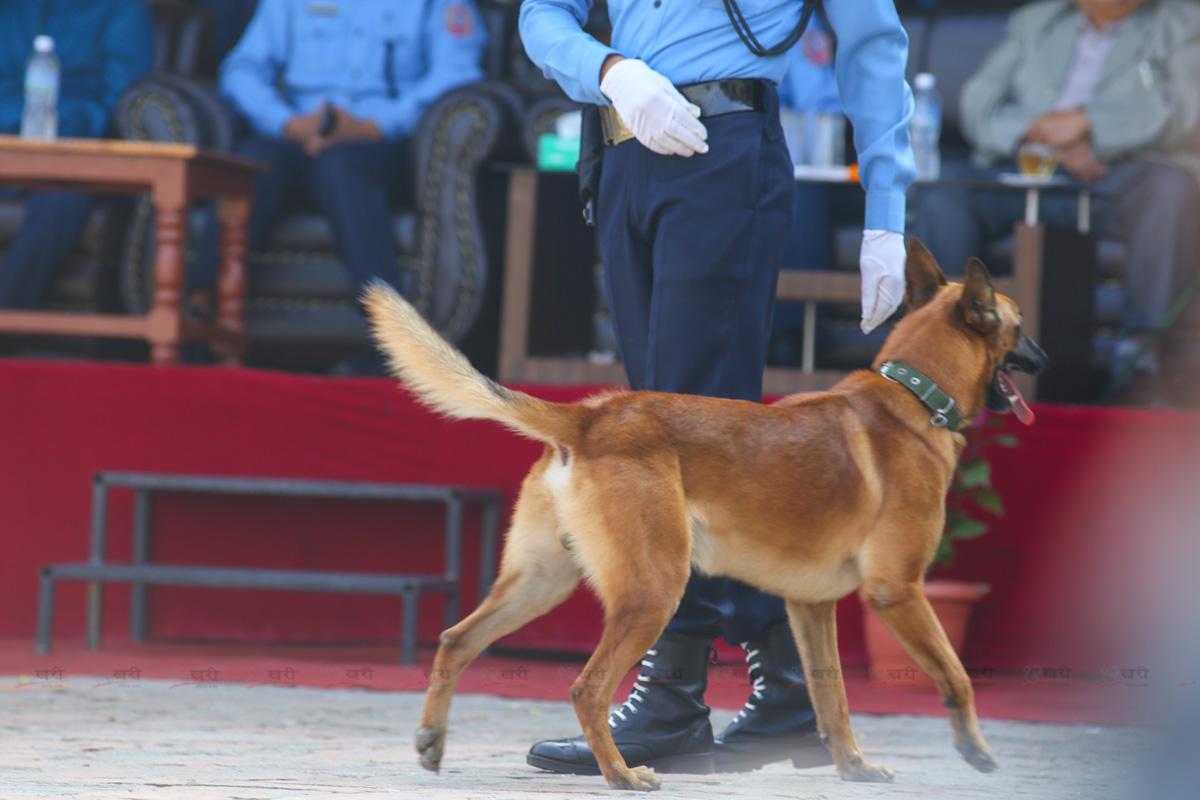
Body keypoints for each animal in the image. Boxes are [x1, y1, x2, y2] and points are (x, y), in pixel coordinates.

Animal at [360, 241, 1046, 791]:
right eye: (1019, 326)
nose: (1046, 357)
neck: (912, 393)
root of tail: (592, 415)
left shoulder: (811, 606)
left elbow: (833, 696)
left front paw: (853, 767)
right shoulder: (898, 591)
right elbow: (956, 675)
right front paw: (975, 750)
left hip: (542, 582)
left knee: (455, 641)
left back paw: (434, 741)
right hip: (655, 588)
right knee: (588, 686)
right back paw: (621, 774)